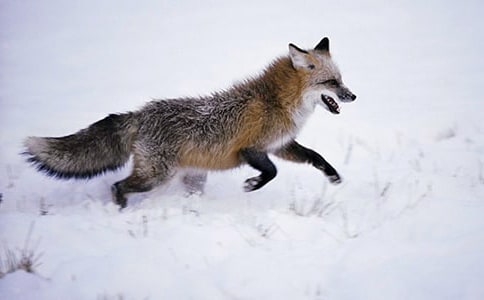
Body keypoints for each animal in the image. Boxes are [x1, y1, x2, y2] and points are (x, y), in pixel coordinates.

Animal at [23, 37, 356, 207]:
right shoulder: (251, 149)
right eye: (331, 82)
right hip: (157, 176)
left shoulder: (280, 145)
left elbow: (316, 157)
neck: (275, 101)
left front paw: (335, 178)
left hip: (191, 179)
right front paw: (251, 185)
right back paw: (121, 208)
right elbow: (271, 172)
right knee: (118, 185)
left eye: (341, 80)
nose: (353, 96)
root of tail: (141, 113)